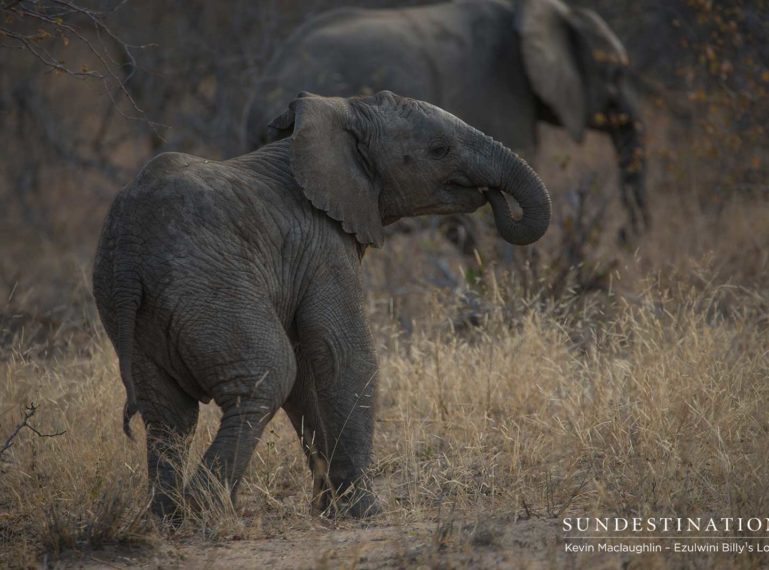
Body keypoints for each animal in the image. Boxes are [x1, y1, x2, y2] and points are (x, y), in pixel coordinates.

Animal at [94, 91, 552, 520]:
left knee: (168, 416)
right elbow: (342, 354)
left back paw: (169, 518)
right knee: (265, 379)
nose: (492, 196)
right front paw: (364, 511)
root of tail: (129, 252)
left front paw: (329, 508)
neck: (344, 113)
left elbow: (309, 374)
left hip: (136, 312)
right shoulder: (323, 245)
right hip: (208, 290)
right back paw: (206, 512)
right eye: (439, 150)